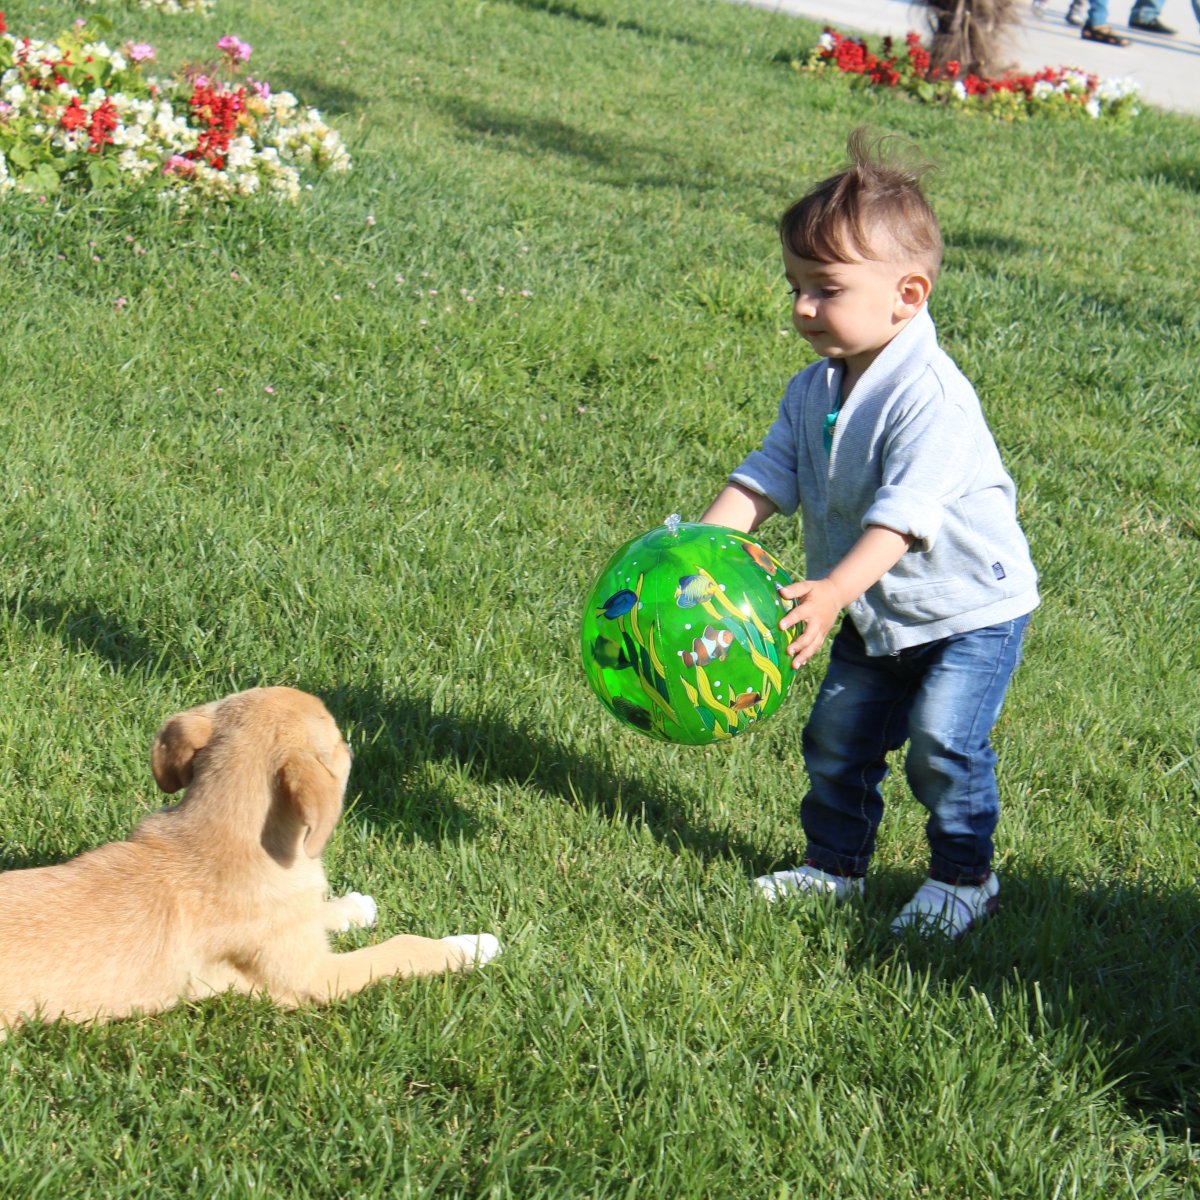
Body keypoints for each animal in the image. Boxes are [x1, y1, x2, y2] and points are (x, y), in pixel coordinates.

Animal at [0, 686, 499, 1032]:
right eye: (338, 741)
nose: (355, 746)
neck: (220, 836)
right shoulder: (318, 977)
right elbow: (403, 948)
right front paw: (469, 946)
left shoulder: (296, 927)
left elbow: (319, 911)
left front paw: (354, 907)